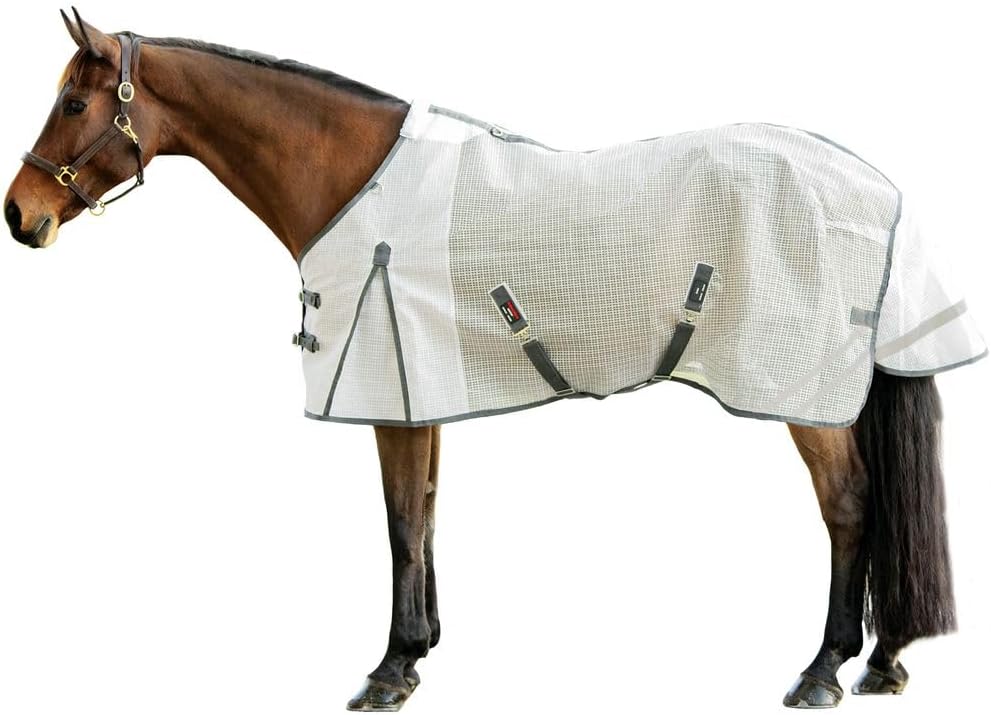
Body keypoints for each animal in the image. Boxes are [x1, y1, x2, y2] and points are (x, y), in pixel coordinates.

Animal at [3, 9, 972, 711]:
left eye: (75, 104)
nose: (20, 215)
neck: (354, 179)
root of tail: (874, 187)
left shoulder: (387, 390)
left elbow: (399, 521)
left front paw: (387, 671)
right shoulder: (422, 393)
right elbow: (426, 514)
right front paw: (419, 648)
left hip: (802, 394)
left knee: (850, 508)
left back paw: (821, 671)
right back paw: (883, 662)